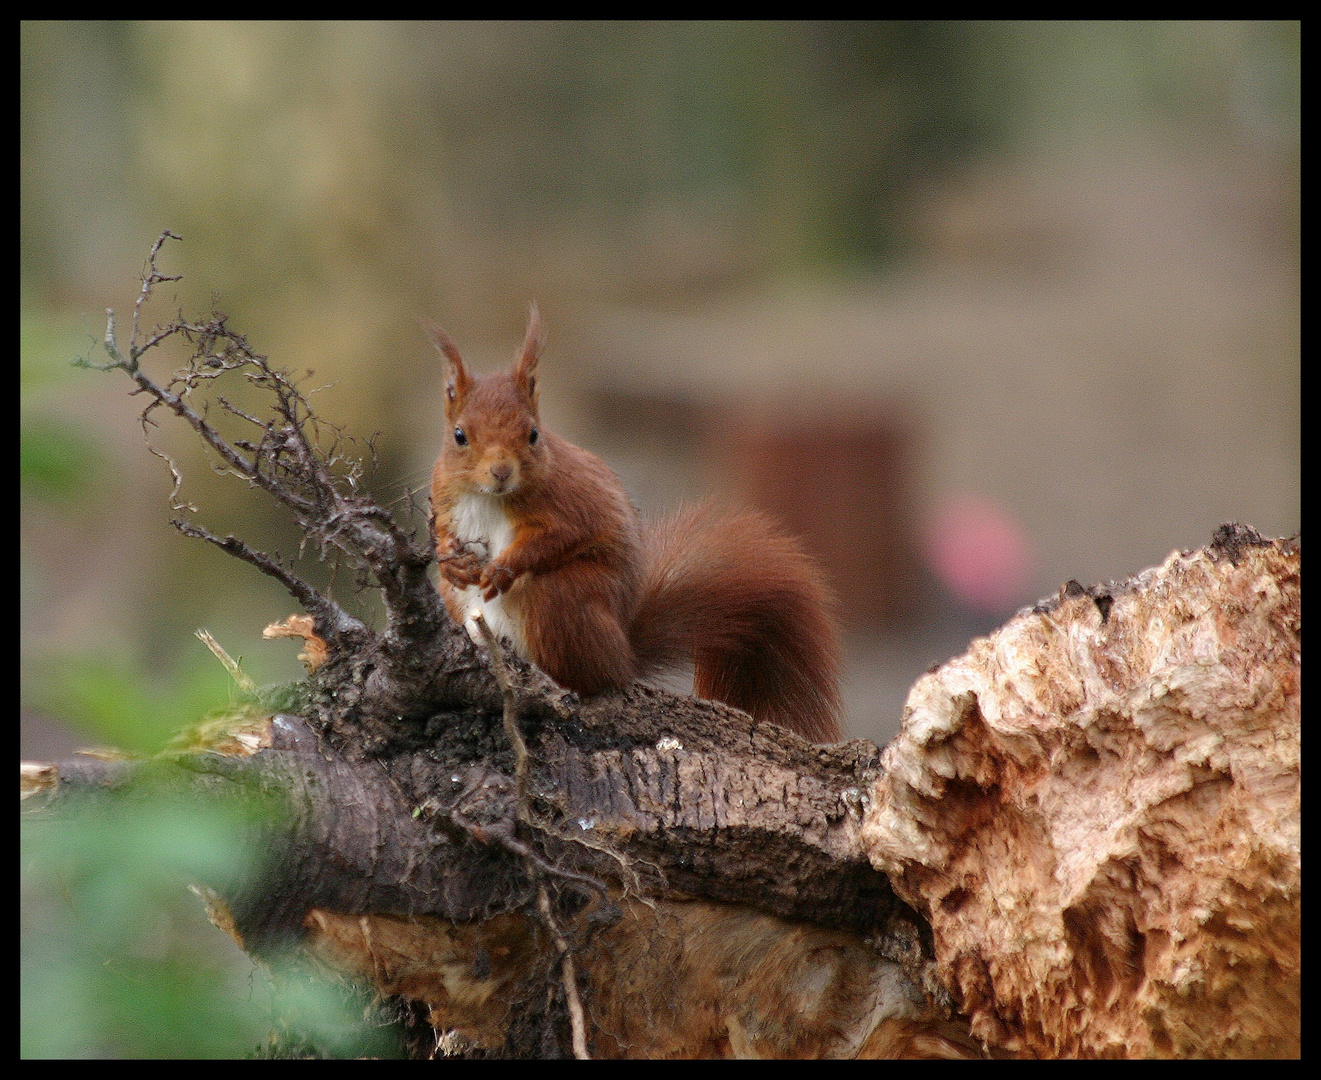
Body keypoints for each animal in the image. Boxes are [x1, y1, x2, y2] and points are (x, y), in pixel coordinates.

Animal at [433, 303, 845, 739]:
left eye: (533, 434)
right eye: (459, 435)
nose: (501, 472)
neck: (490, 498)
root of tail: (624, 653)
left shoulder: (570, 506)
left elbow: (555, 539)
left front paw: (502, 569)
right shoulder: (445, 499)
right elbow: (441, 532)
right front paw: (452, 560)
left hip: (560, 599)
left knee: (593, 675)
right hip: (458, 603)